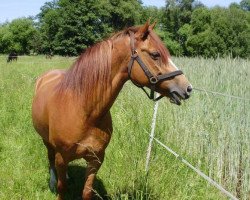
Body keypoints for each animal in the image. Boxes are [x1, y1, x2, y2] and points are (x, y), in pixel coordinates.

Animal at [32, 21, 192, 199]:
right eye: (155, 54)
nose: (187, 88)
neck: (84, 112)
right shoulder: (62, 156)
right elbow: (62, 188)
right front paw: (57, 185)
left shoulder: (96, 159)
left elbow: (87, 191)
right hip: (46, 141)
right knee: (50, 158)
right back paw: (53, 181)